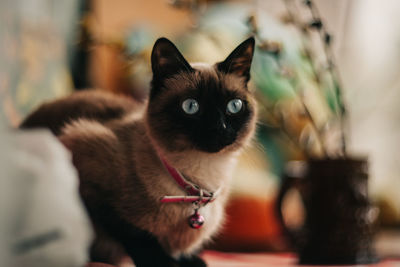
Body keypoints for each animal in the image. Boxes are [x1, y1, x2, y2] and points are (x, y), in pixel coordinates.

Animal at [21, 36, 258, 266]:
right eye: (191, 106)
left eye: (234, 106)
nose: (219, 128)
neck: (201, 181)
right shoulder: (86, 169)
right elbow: (135, 234)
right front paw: (164, 262)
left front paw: (189, 260)